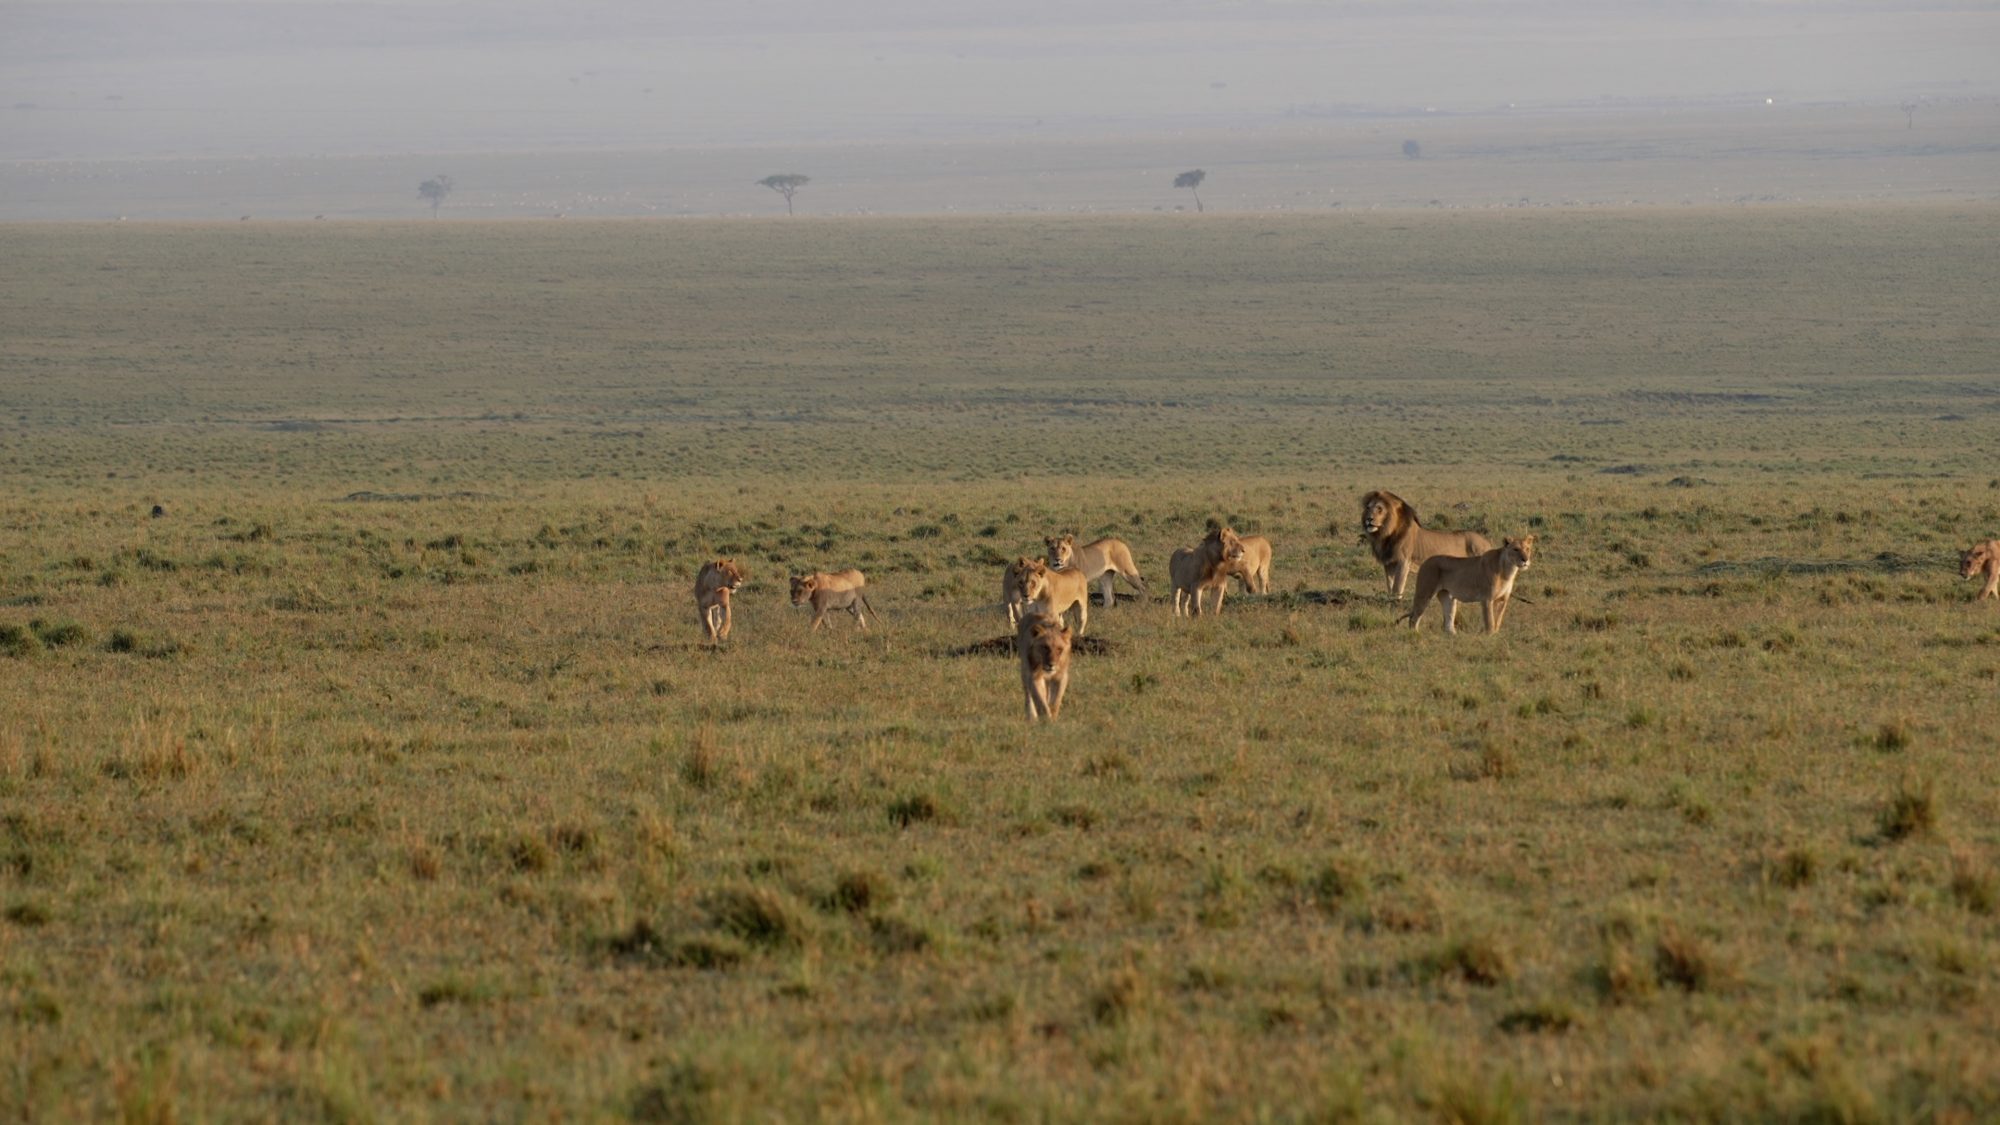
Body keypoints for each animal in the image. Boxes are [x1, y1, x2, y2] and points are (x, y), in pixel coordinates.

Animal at [1352, 488, 1496, 600]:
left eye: (1379, 509)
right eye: (1368, 508)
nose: (1368, 519)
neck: (1386, 535)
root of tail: (1487, 542)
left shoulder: (1403, 562)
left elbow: (1397, 587)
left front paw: (1394, 603)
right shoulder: (1388, 564)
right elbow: (1390, 585)